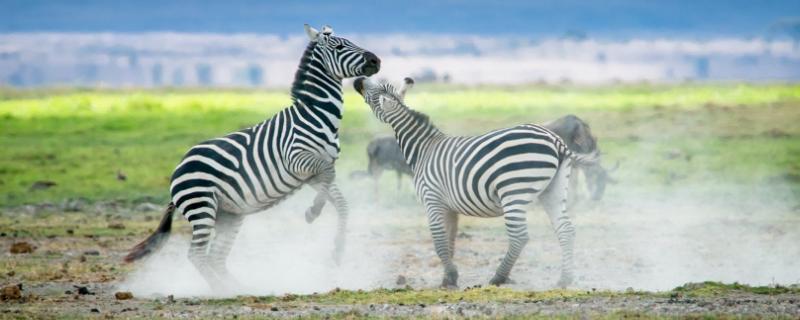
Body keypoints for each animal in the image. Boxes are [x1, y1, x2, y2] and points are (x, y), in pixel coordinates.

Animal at [125, 23, 382, 292]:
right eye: (339, 46)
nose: (376, 60)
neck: (316, 115)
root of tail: (178, 168)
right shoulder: (297, 159)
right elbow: (329, 176)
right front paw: (313, 212)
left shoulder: (313, 174)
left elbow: (342, 204)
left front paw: (337, 248)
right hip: (202, 205)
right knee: (196, 255)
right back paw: (221, 292)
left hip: (228, 215)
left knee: (215, 257)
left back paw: (241, 289)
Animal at [354, 77, 596, 288]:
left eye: (373, 94)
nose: (358, 80)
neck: (424, 149)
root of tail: (556, 141)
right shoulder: (449, 207)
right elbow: (449, 241)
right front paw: (448, 278)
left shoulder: (432, 200)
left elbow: (438, 241)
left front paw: (450, 277)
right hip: (553, 190)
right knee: (566, 229)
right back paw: (564, 279)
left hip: (514, 191)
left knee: (519, 236)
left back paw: (498, 277)